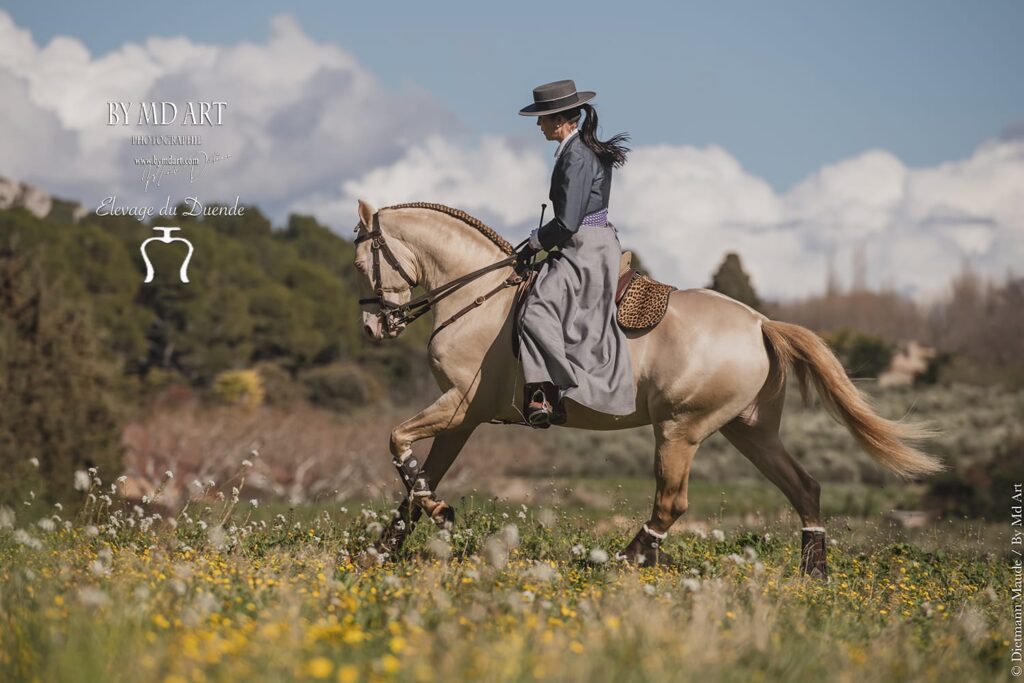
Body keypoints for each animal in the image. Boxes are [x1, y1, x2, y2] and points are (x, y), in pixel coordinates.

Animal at [352, 198, 942, 577]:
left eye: (362, 264)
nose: (373, 328)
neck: (479, 296)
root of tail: (759, 322)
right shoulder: (463, 419)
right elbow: (418, 480)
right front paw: (385, 549)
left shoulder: (459, 406)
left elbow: (396, 442)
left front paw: (435, 517)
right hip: (749, 432)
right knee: (805, 487)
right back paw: (812, 574)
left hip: (680, 429)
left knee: (671, 503)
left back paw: (625, 562)